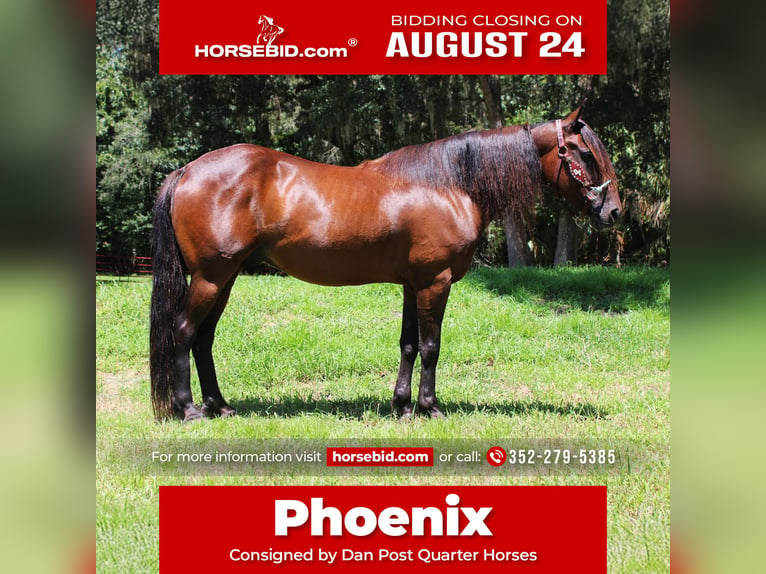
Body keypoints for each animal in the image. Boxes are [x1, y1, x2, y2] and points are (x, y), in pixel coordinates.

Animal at [150, 106, 621, 422]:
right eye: (584, 153)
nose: (614, 212)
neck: (449, 184)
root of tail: (186, 171)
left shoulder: (414, 284)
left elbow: (409, 345)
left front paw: (402, 405)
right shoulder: (435, 282)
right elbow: (431, 346)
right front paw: (430, 407)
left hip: (224, 278)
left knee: (204, 339)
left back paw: (220, 406)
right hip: (210, 277)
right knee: (184, 331)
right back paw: (189, 409)